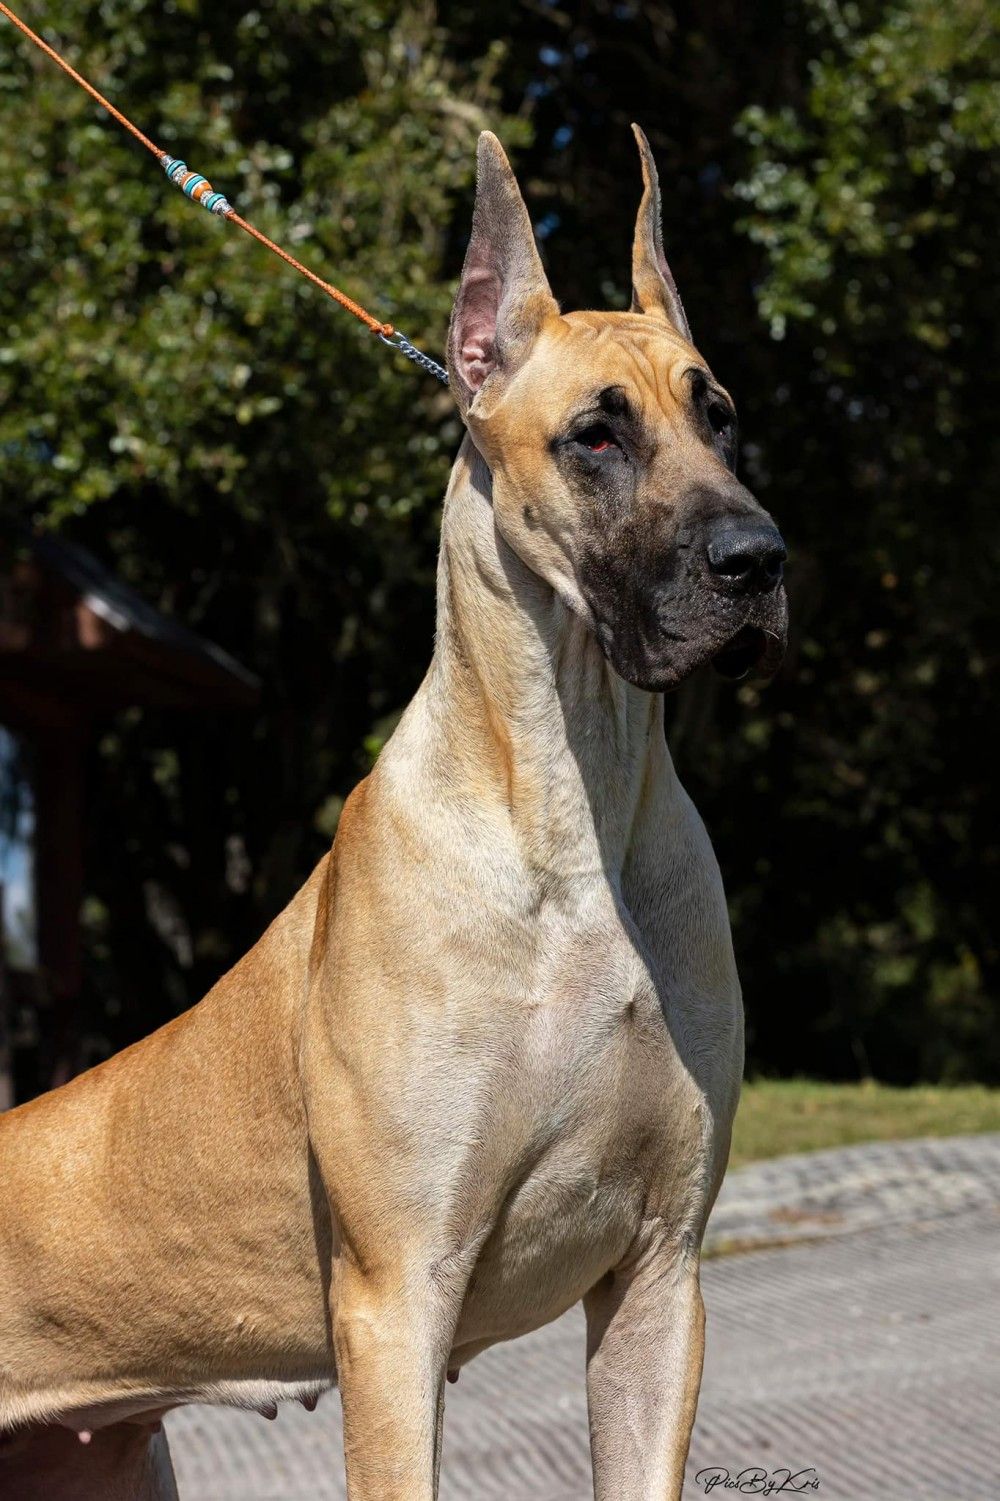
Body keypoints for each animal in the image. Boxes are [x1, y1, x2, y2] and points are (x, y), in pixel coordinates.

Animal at [0, 126, 787, 1500]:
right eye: (595, 435)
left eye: (721, 418)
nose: (760, 559)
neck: (577, 809)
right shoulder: (393, 1303)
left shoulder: (658, 1282)